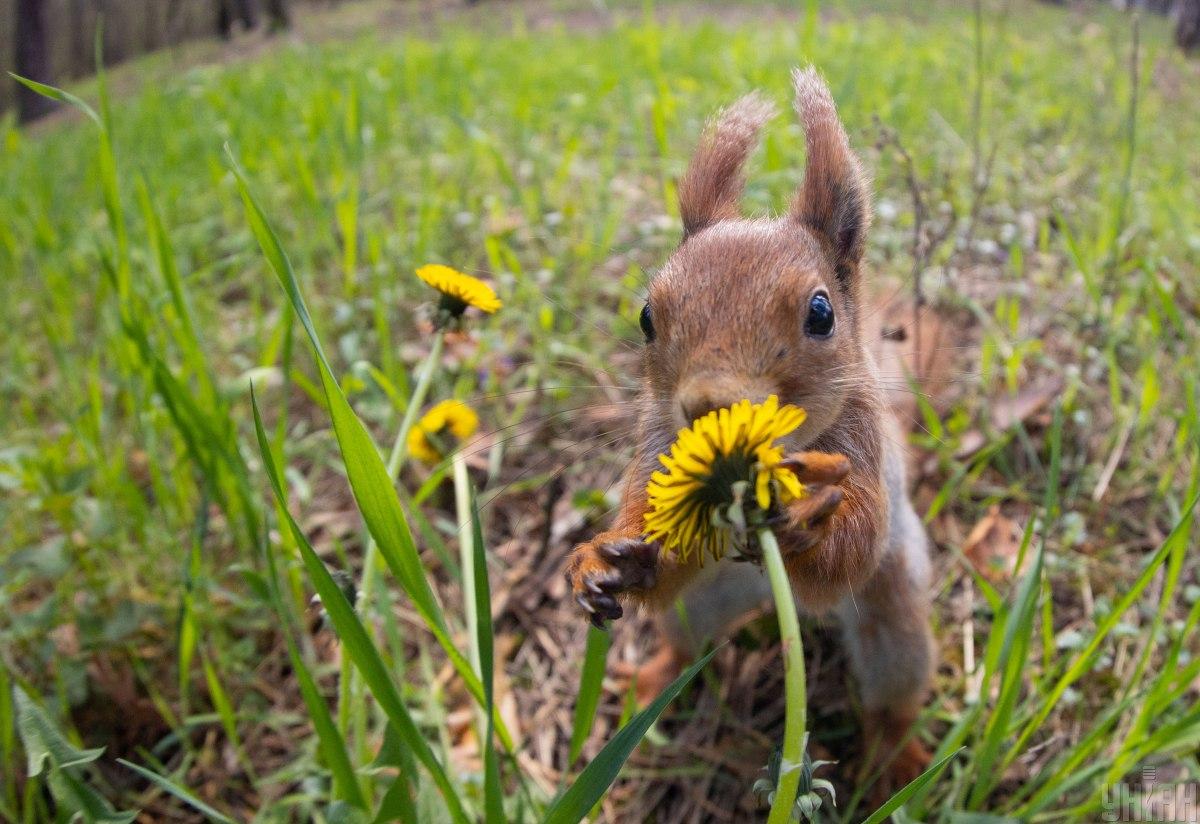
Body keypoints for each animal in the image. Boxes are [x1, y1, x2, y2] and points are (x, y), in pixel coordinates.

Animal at [564, 69, 936, 801]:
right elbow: (648, 521)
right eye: (646, 316)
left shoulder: (863, 447)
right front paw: (604, 561)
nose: (709, 405)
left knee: (891, 690)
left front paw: (810, 520)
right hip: (700, 604)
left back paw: (896, 756)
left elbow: (857, 538)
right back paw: (652, 677)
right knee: (685, 635)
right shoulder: (659, 448)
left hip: (895, 624)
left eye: (821, 313)